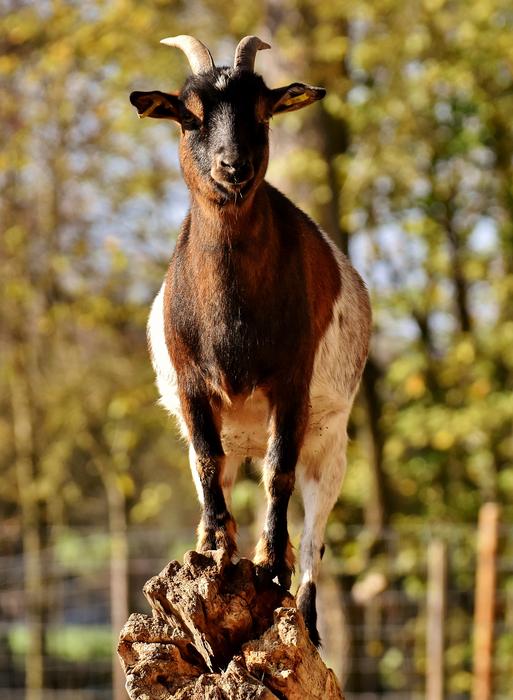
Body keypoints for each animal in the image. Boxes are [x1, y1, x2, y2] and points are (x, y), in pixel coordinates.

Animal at [130, 35, 371, 646]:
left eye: (262, 112)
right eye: (188, 114)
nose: (232, 167)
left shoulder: (292, 383)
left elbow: (280, 470)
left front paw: (270, 562)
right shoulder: (193, 386)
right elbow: (208, 462)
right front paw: (215, 544)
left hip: (331, 446)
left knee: (314, 534)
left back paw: (304, 614)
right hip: (237, 437)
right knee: (220, 468)